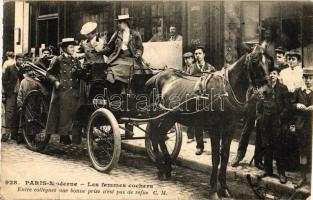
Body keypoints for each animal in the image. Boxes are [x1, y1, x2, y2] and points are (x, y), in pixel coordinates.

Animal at [144, 45, 270, 200]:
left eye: (268, 62)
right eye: (254, 61)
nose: (267, 92)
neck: (225, 89)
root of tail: (154, 77)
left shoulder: (230, 127)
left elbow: (225, 155)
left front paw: (225, 189)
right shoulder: (214, 127)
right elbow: (216, 157)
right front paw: (214, 191)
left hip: (170, 117)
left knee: (160, 136)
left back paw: (167, 168)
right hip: (157, 117)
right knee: (154, 136)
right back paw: (161, 169)